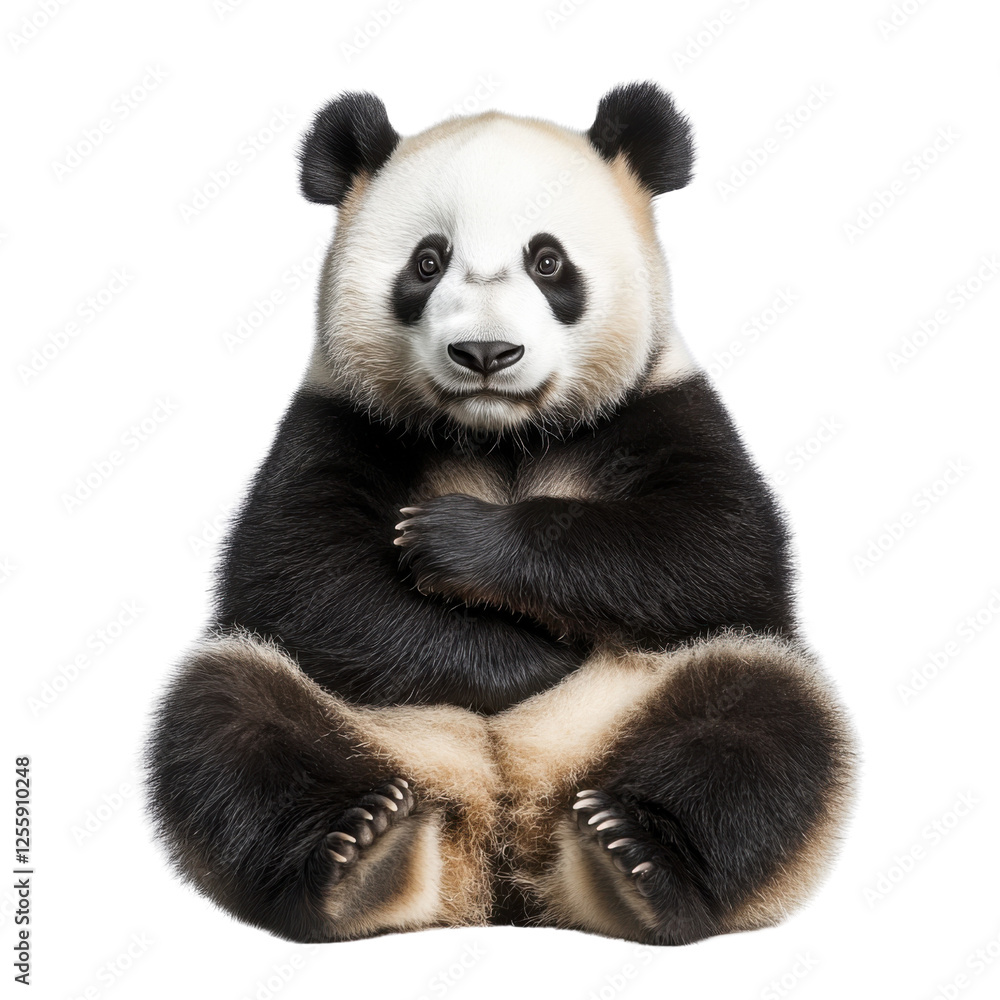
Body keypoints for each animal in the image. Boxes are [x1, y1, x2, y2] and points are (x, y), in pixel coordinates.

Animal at [144, 82, 856, 946]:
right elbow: (297, 571)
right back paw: (356, 857)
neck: (501, 432)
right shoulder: (337, 416)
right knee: (227, 719)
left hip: (656, 708)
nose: (485, 354)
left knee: (763, 724)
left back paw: (637, 864)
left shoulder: (662, 403)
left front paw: (459, 543)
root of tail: (502, 834)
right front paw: (531, 658)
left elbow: (720, 550)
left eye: (547, 260)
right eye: (428, 261)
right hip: (367, 729)